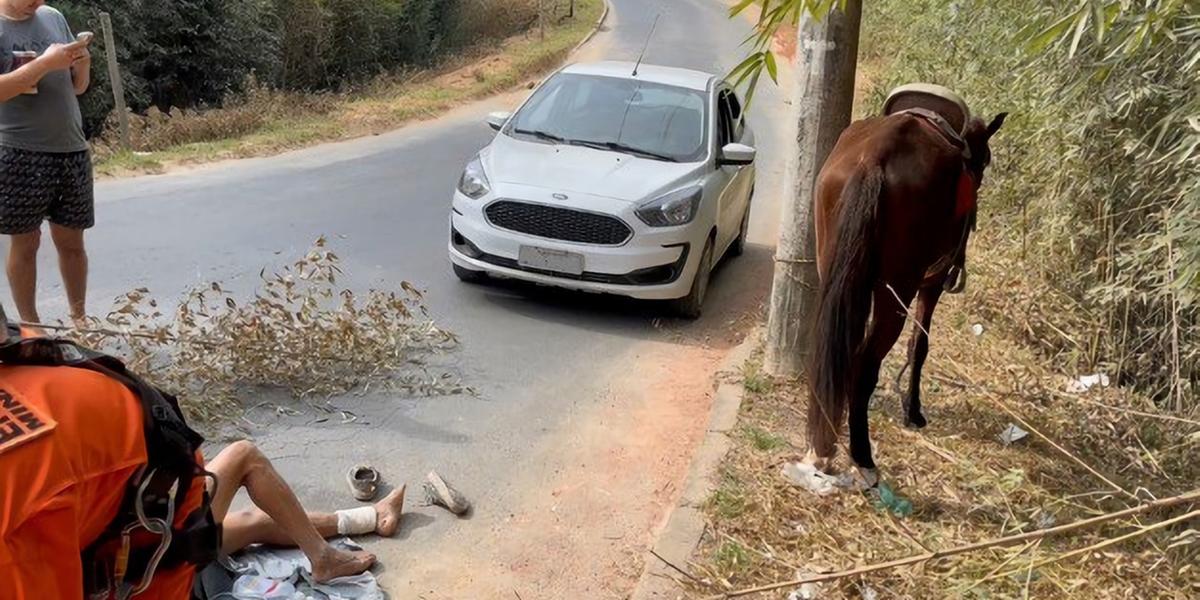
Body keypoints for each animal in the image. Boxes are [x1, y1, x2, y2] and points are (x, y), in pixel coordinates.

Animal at [806, 106, 1003, 482]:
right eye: (984, 162)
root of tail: (874, 158)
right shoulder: (932, 281)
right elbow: (920, 344)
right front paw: (913, 410)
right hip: (897, 288)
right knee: (864, 364)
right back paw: (862, 454)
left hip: (834, 269)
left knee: (834, 347)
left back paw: (821, 441)